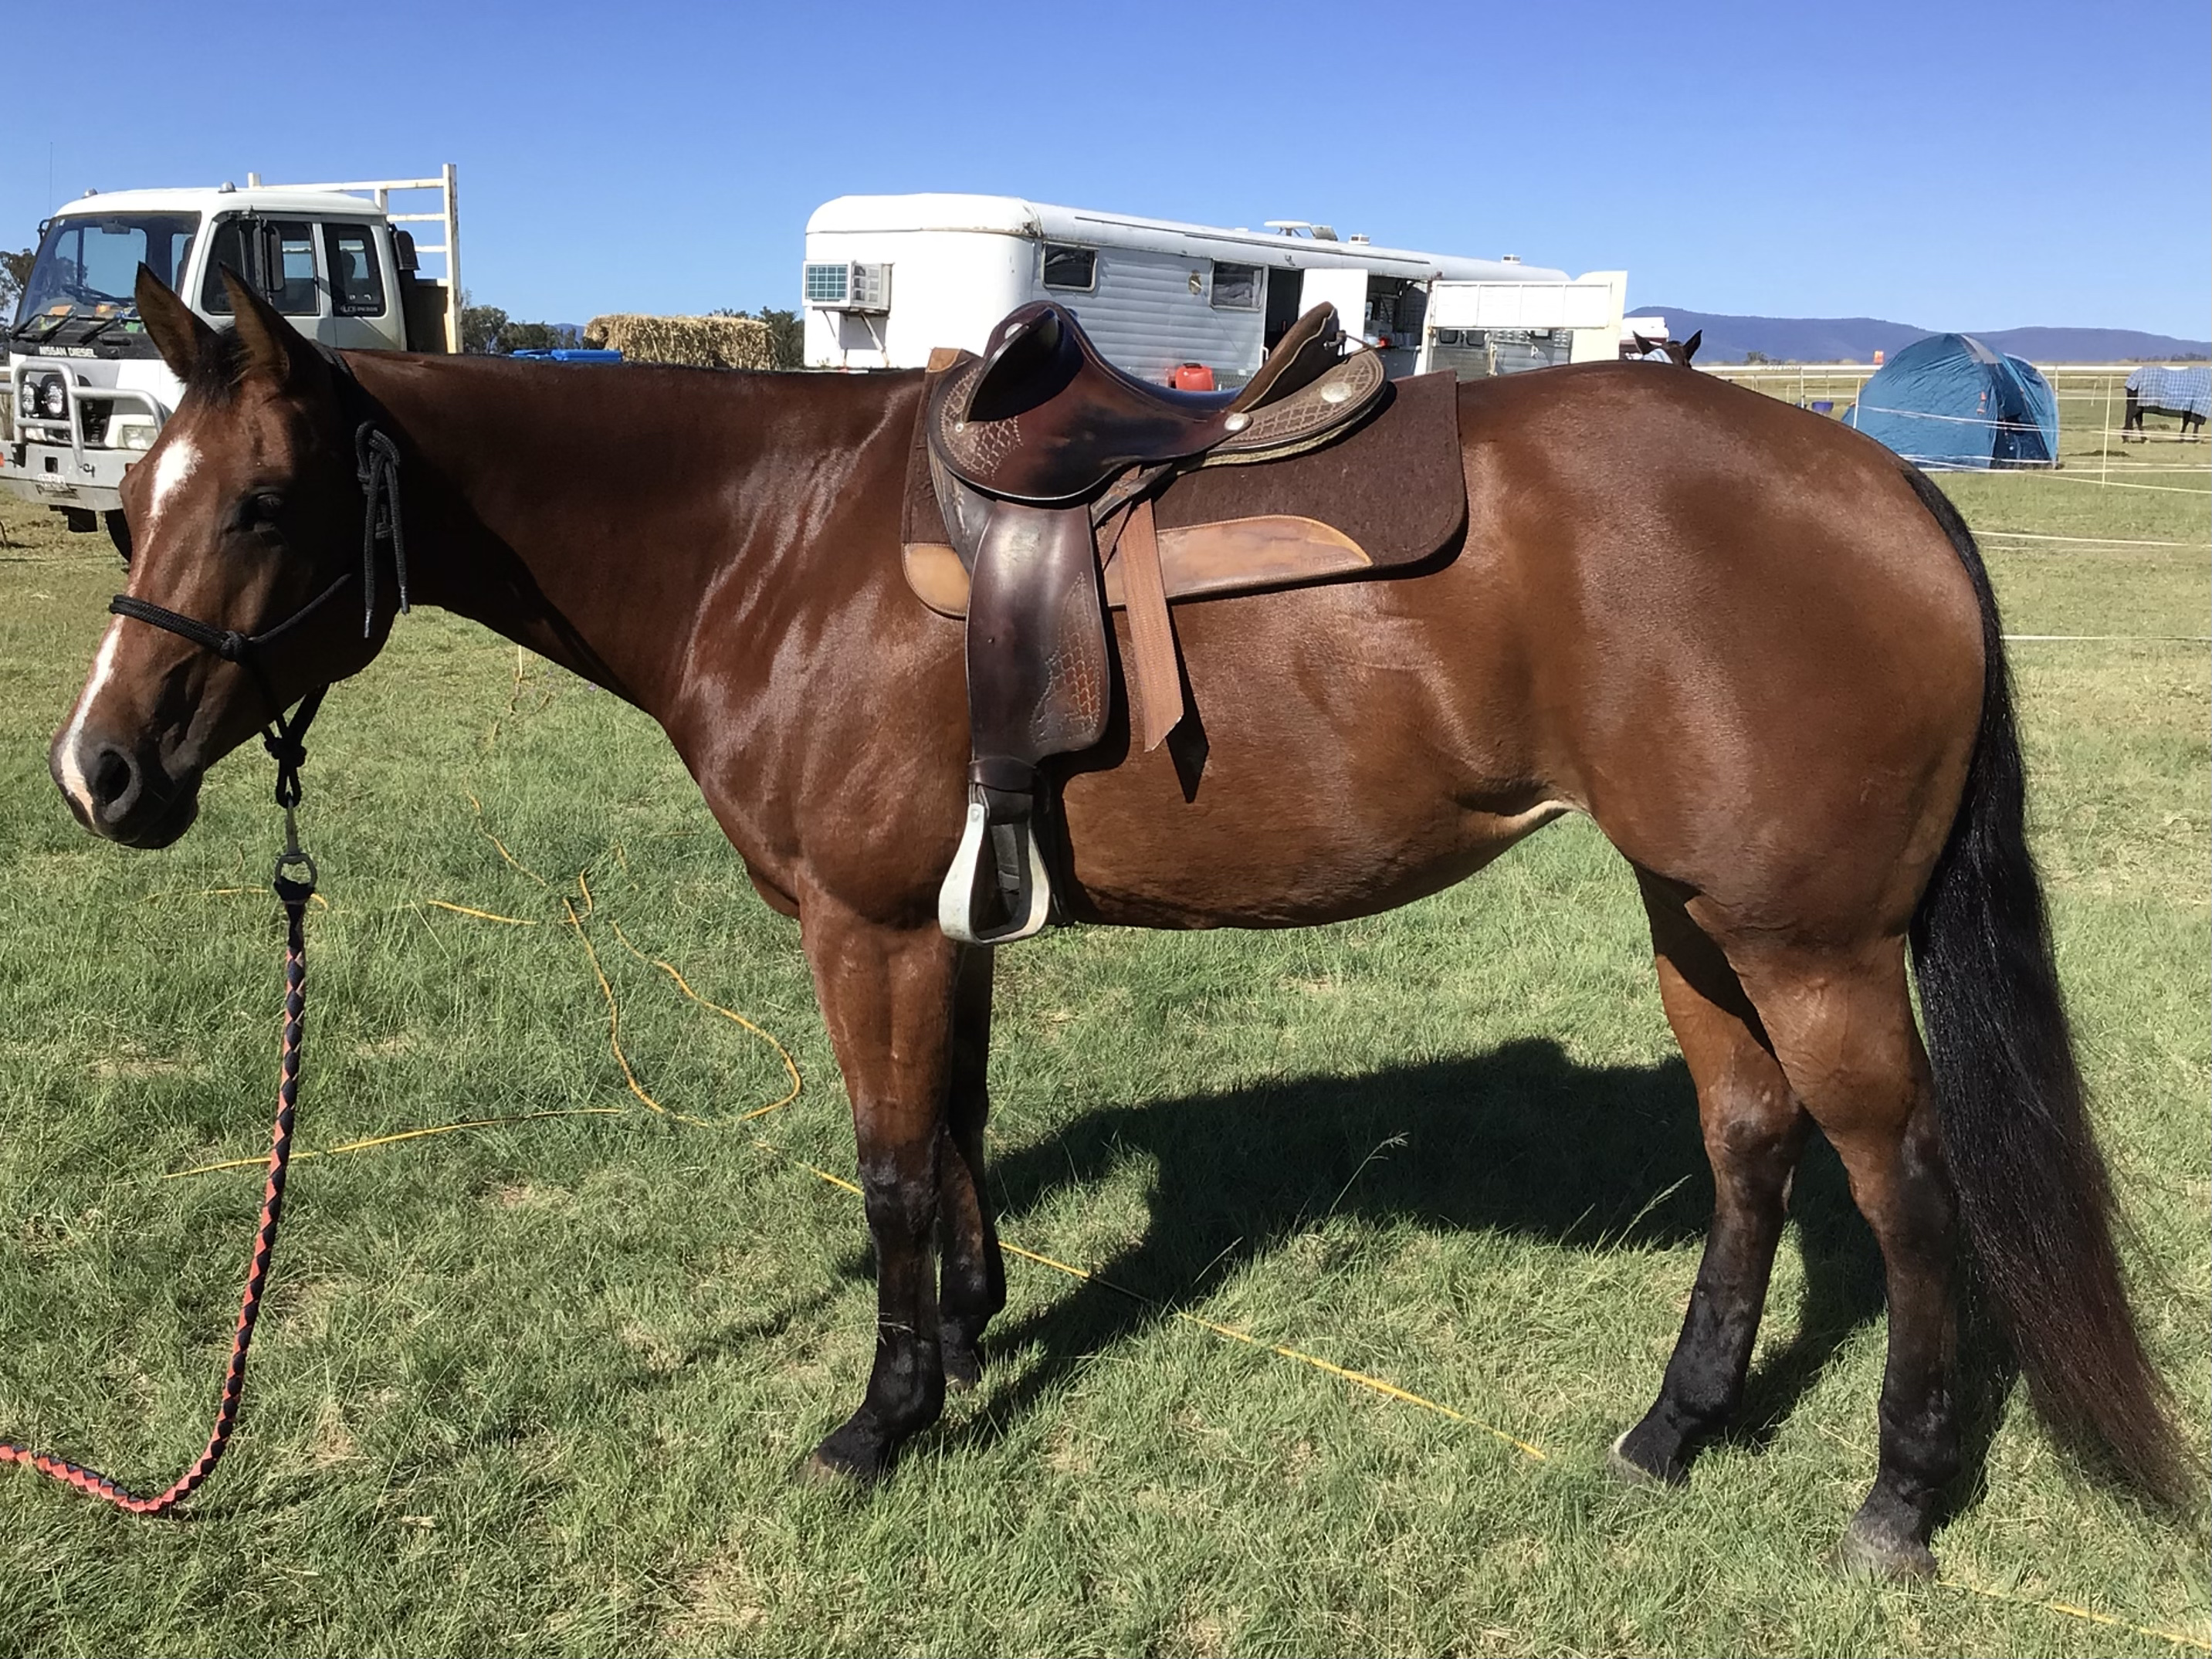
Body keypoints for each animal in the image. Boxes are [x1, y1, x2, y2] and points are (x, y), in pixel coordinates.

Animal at [49, 267, 2188, 1577]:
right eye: (126, 501)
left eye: (258, 505)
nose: (101, 776)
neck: (767, 542)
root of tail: (1890, 491)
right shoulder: (942, 922)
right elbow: (958, 1133)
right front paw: (972, 1329)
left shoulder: (864, 929)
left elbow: (889, 1161)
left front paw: (884, 1415)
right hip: (1697, 914)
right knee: (1748, 1153)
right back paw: (1674, 1427)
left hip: (1812, 948)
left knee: (1904, 1193)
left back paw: (1895, 1495)